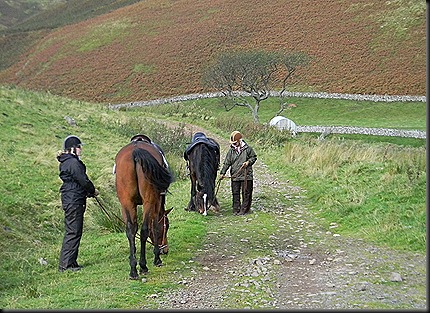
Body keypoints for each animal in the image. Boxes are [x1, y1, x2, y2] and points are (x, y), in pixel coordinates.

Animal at [116, 133, 175, 278]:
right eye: (167, 226)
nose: (165, 250)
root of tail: (136, 151)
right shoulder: (157, 202)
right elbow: (155, 227)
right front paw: (156, 258)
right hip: (149, 201)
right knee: (144, 230)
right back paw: (143, 266)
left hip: (127, 202)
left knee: (131, 230)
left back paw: (133, 269)